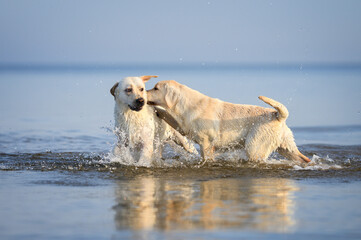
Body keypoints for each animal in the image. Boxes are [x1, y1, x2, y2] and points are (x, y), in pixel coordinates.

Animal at [146, 80, 310, 165]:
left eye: (155, 88)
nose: (143, 92)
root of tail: (278, 115)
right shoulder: (184, 127)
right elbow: (171, 118)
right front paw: (158, 111)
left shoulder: (206, 143)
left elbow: (206, 157)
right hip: (287, 147)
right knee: (303, 158)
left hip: (255, 147)